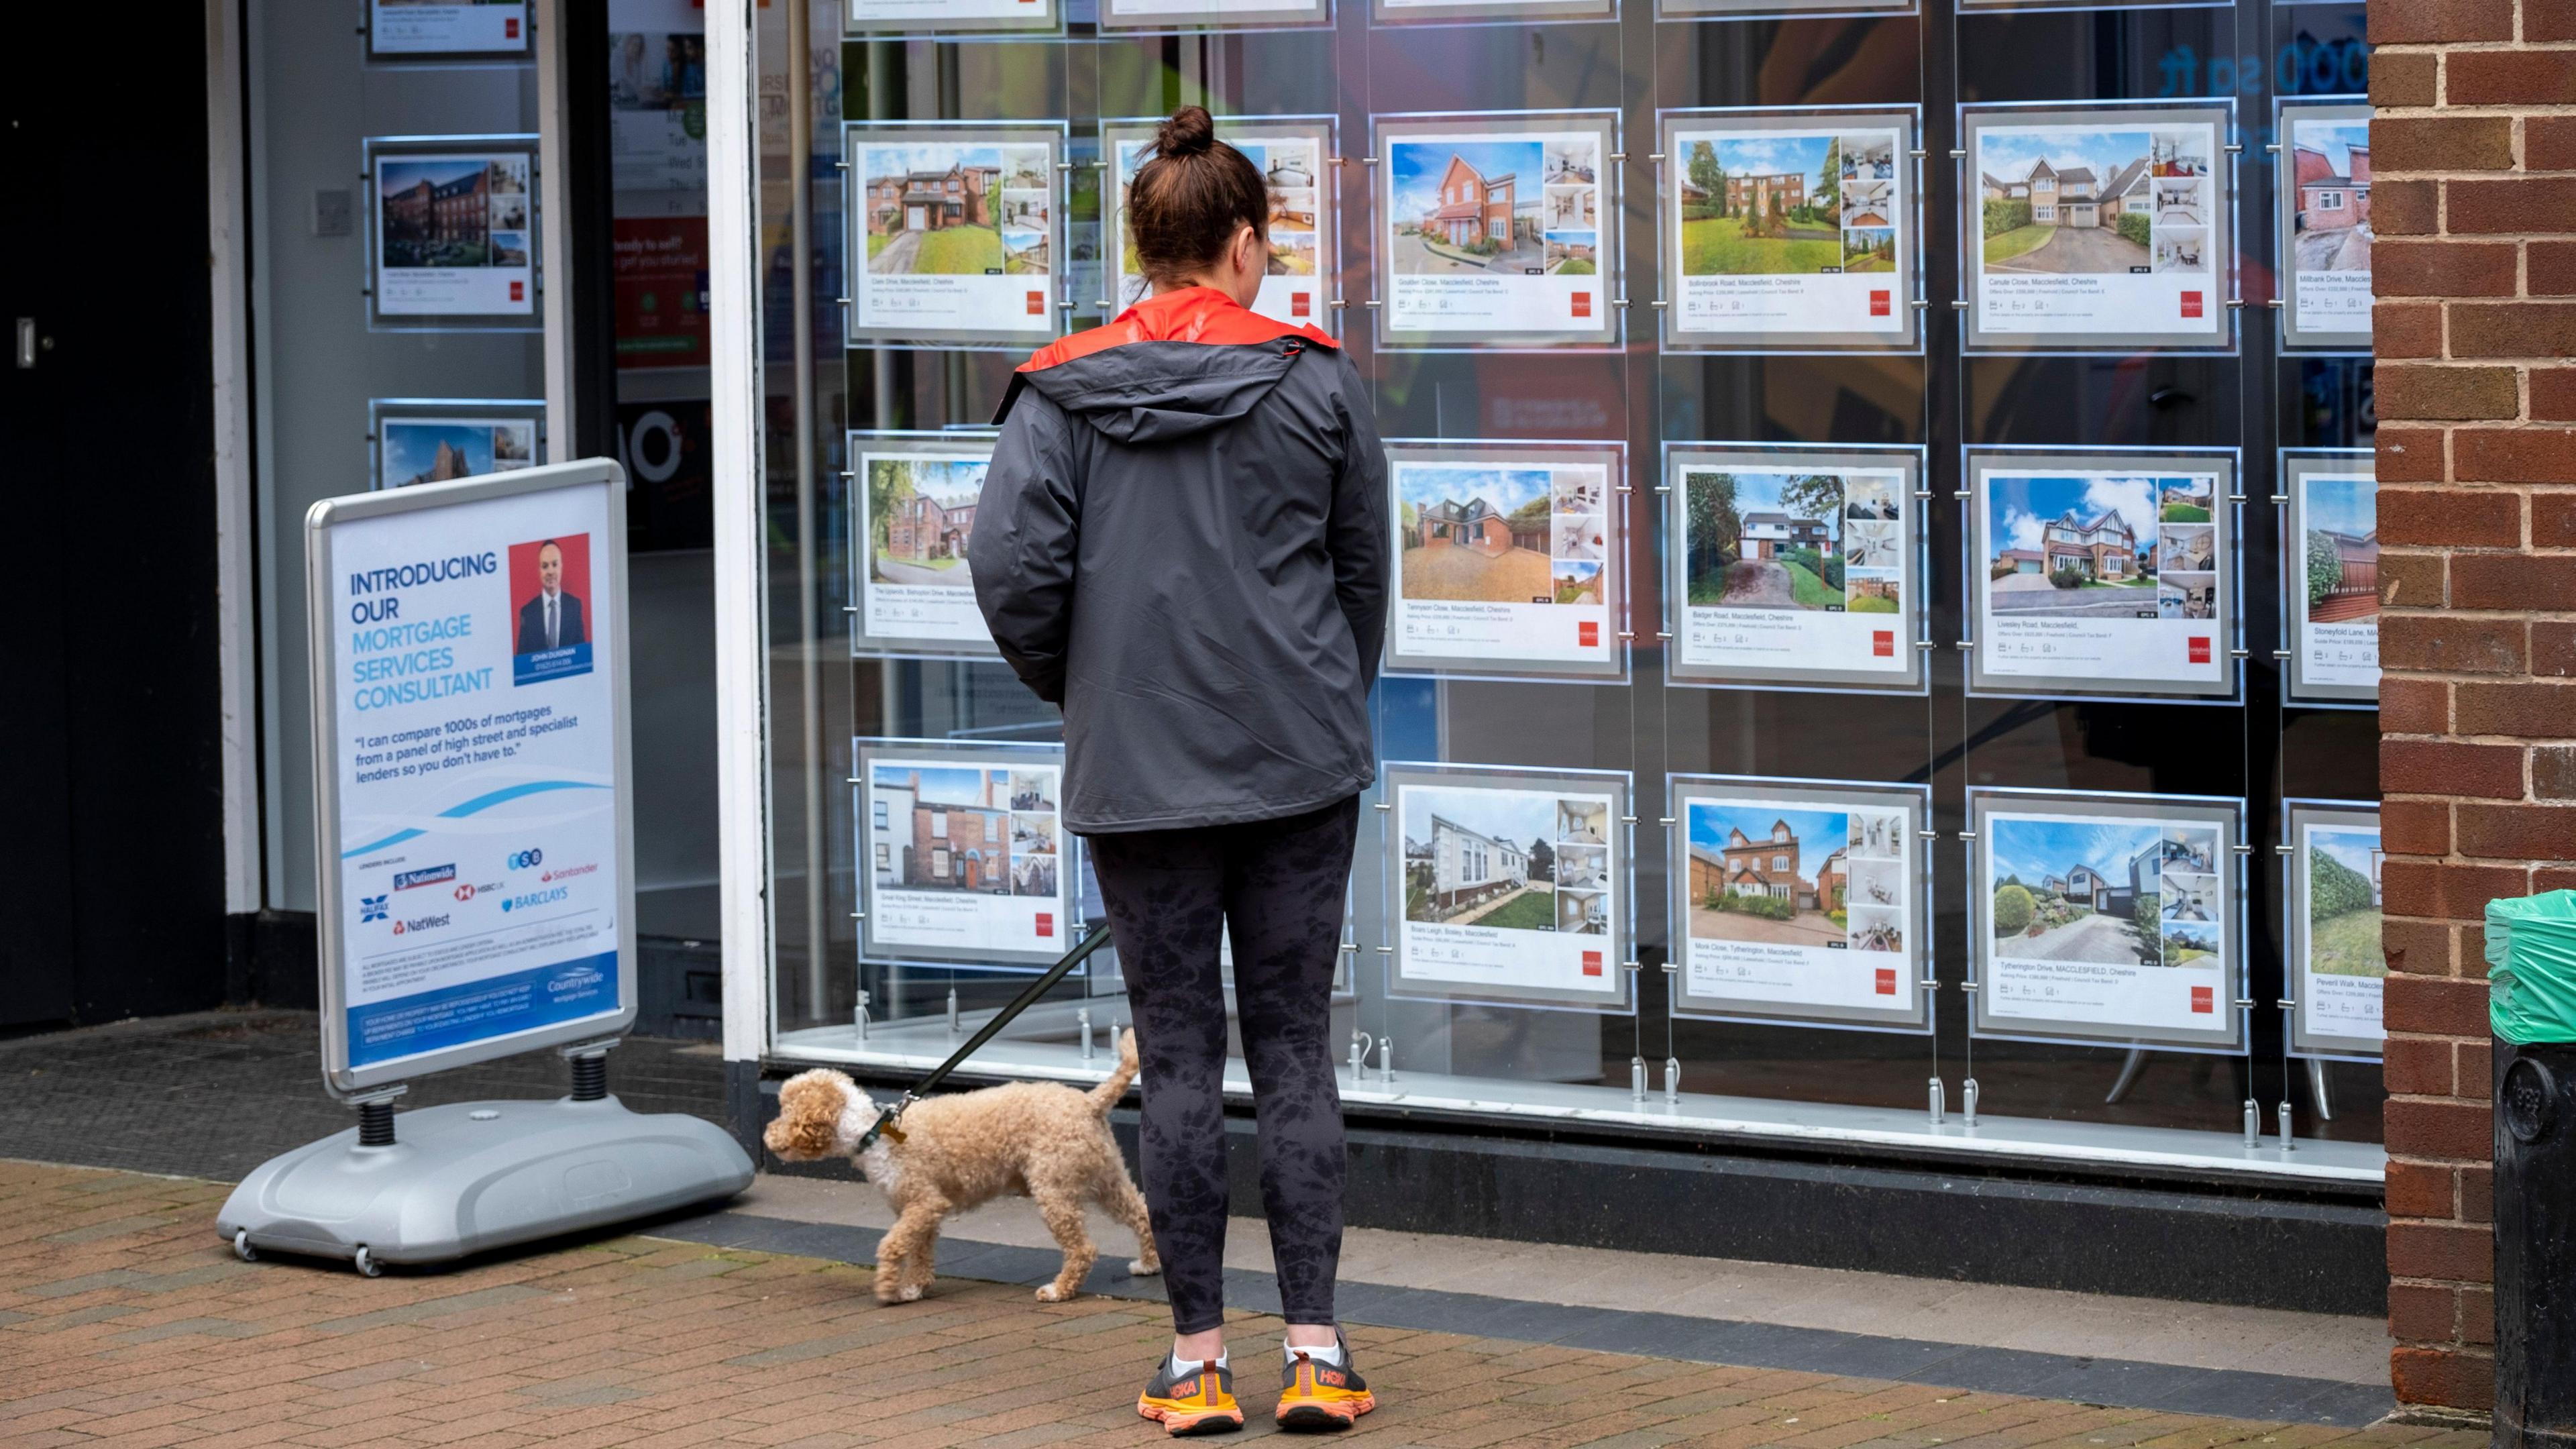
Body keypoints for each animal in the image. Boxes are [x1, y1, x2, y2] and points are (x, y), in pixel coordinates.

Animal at [757, 1026, 1164, 1299]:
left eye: (786, 1111)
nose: (766, 1136)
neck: (871, 1131)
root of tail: (1089, 1102)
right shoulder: (921, 1212)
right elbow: (919, 1252)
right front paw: (913, 1287)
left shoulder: (924, 1203)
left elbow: (890, 1245)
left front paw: (887, 1285)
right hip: (1106, 1177)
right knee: (1142, 1213)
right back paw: (1149, 1264)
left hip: (1054, 1189)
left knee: (1083, 1249)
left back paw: (1059, 1290)